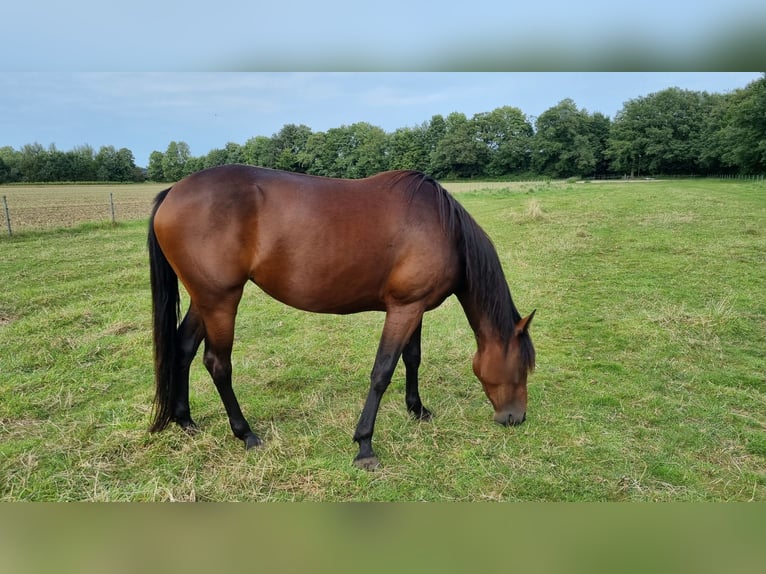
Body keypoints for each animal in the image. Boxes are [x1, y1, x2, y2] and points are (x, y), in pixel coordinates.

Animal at [147, 164, 536, 470]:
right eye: (523, 367)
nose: (516, 418)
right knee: (218, 364)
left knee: (183, 349)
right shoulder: (404, 309)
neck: (445, 229)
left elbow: (412, 358)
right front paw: (365, 446)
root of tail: (172, 193)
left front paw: (417, 410)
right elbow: (382, 372)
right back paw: (246, 434)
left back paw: (185, 420)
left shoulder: (415, 306)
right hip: (220, 301)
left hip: (204, 300)